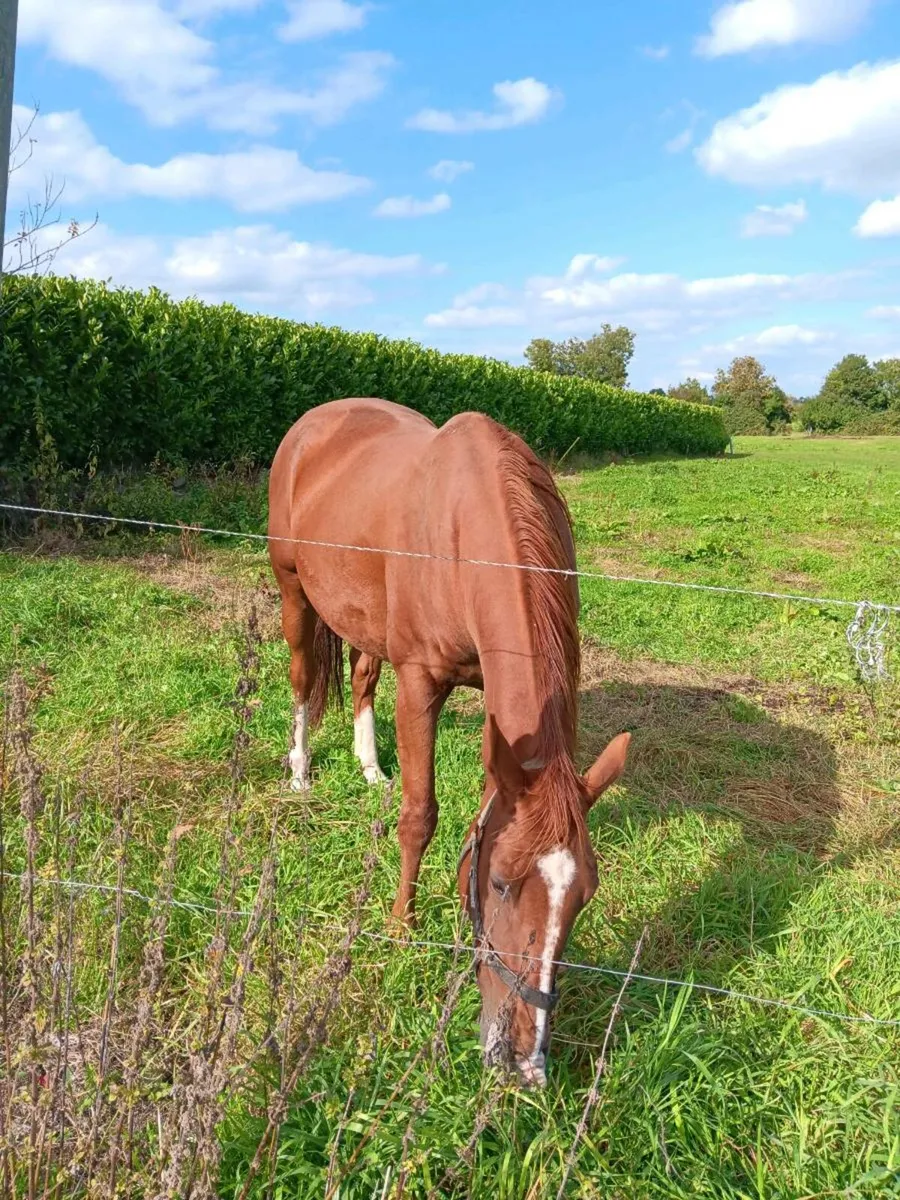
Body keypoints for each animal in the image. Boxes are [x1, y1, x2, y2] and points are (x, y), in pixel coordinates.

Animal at [268, 398, 630, 1086]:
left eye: (585, 896)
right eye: (503, 884)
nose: (524, 1060)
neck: (468, 538)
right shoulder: (420, 685)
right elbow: (419, 816)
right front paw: (402, 927)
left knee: (362, 672)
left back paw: (370, 767)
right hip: (294, 587)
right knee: (303, 678)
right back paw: (299, 773)